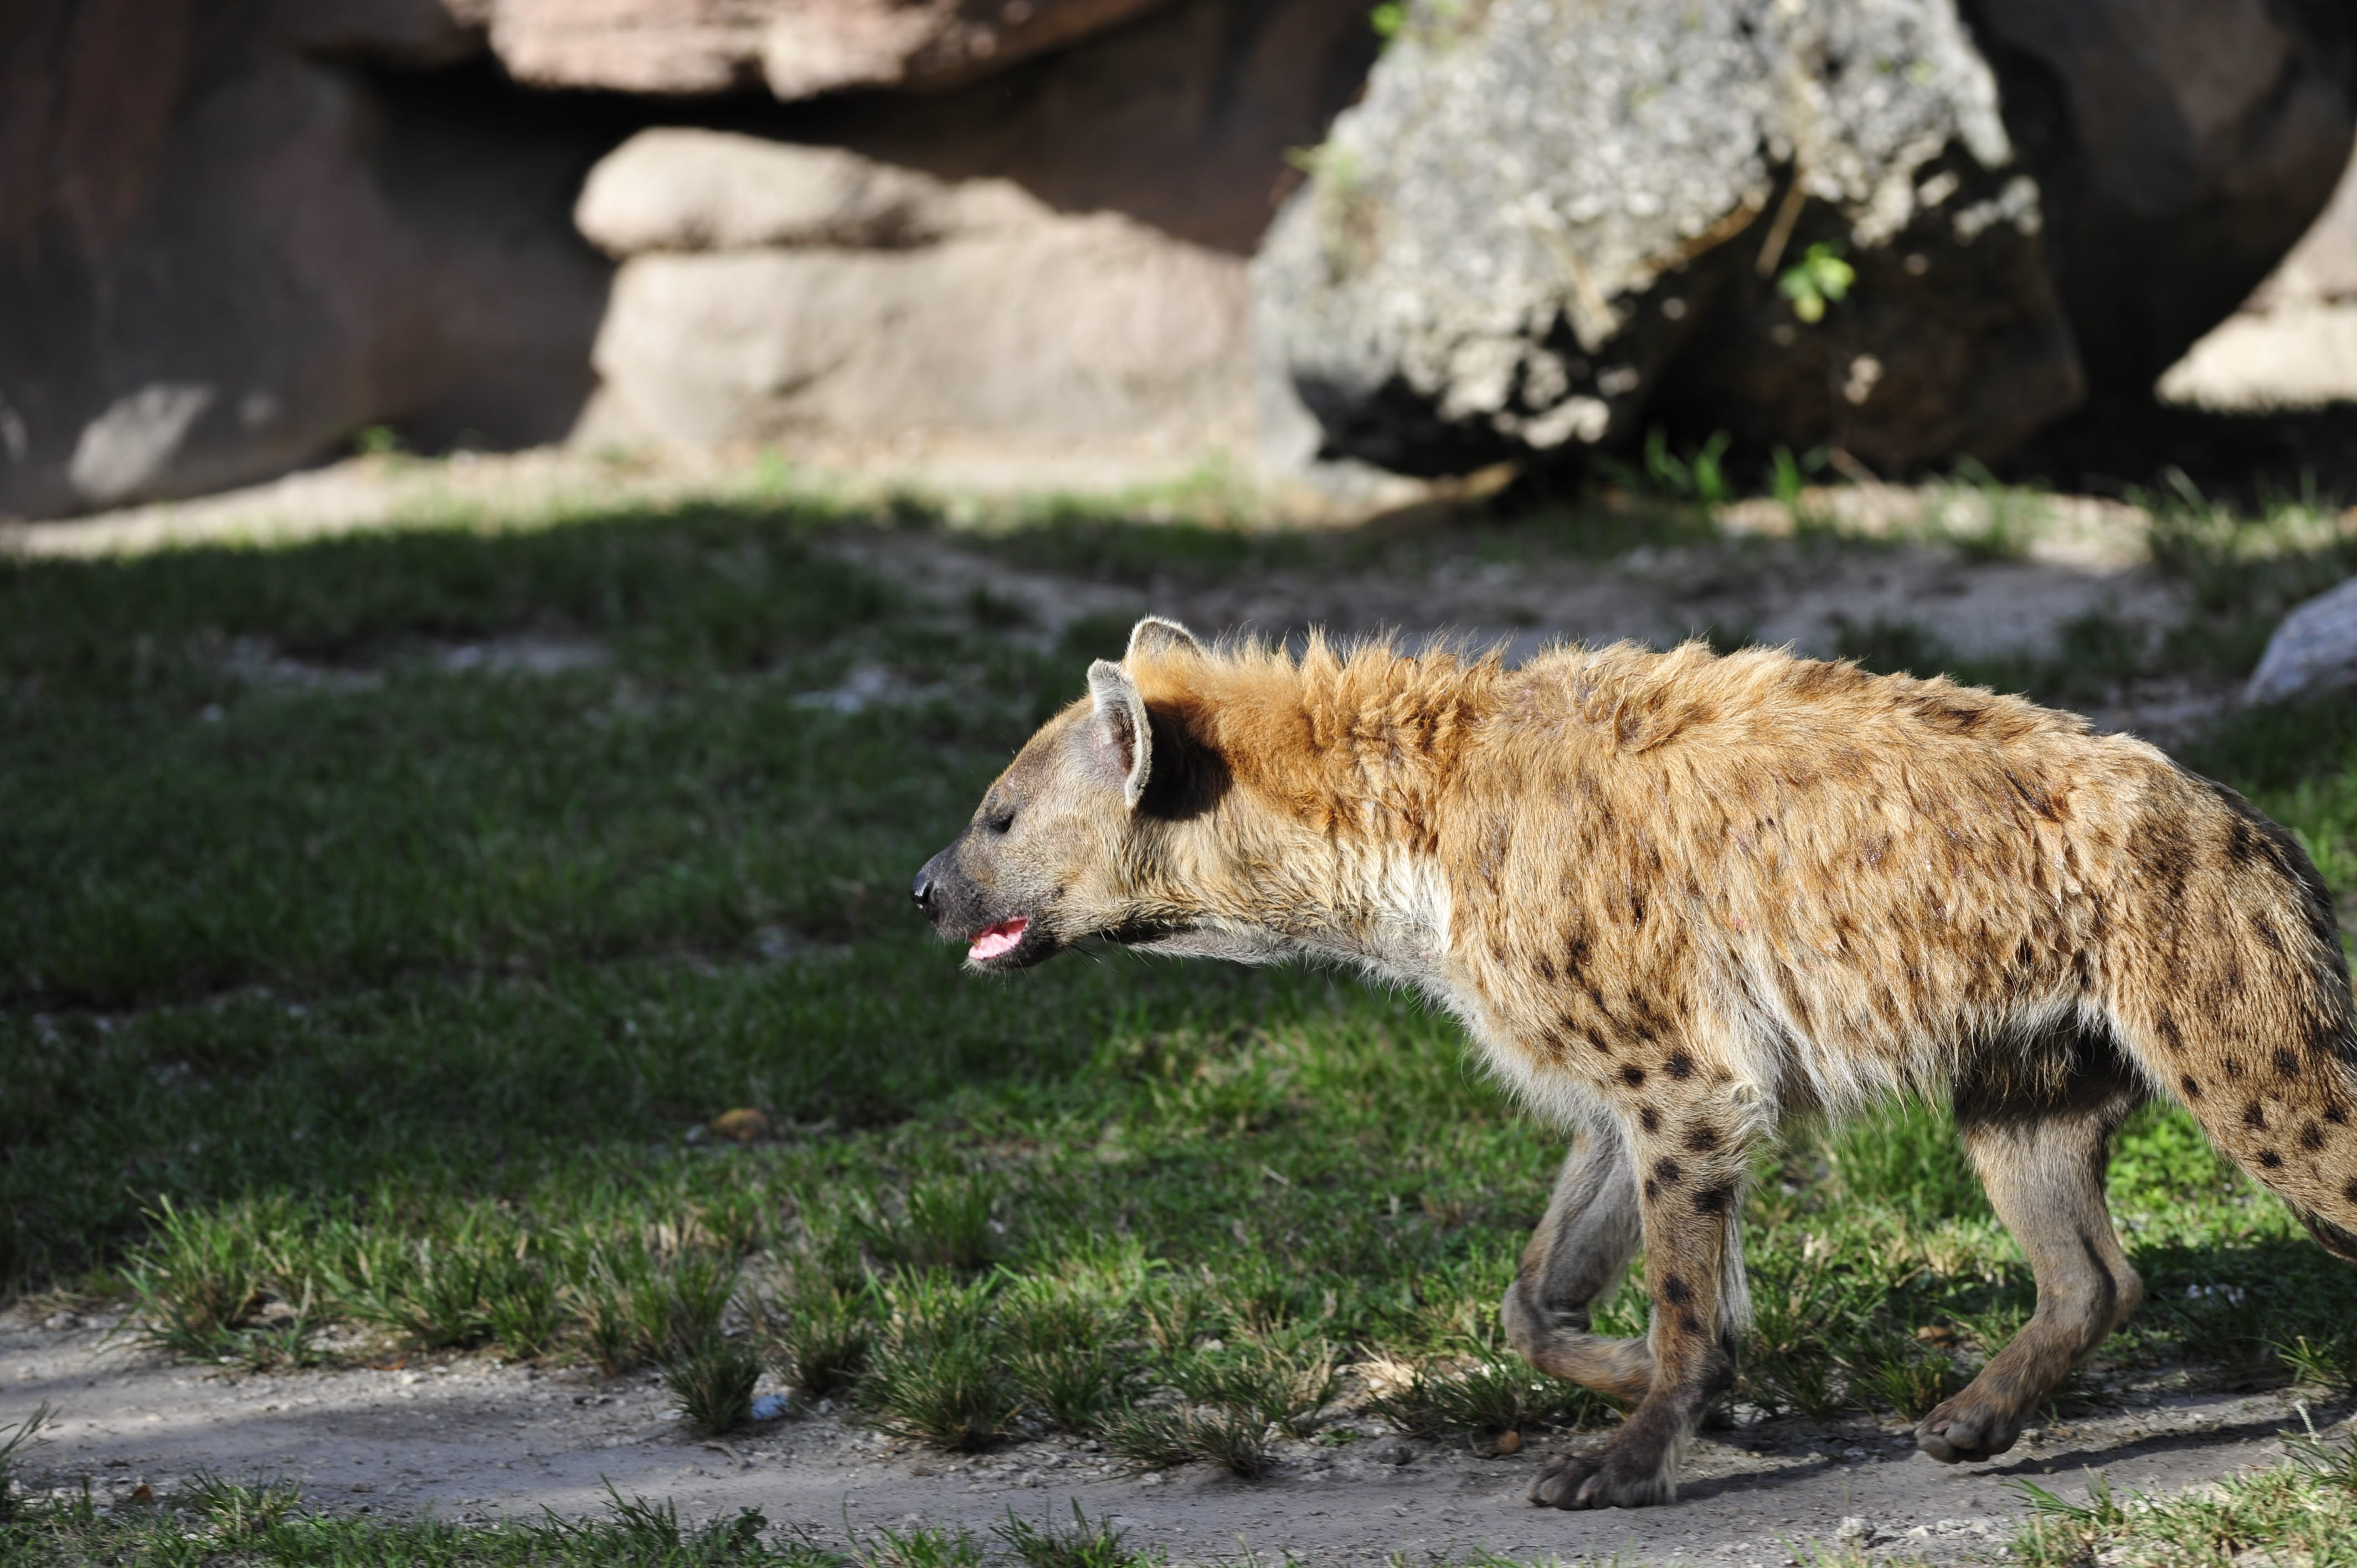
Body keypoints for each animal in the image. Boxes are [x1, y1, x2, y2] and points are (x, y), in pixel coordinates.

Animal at [912, 617, 2357, 1509]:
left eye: (997, 814)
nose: (919, 887)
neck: (1406, 844)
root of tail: (2257, 826)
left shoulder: (1684, 1074)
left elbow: (1669, 1289)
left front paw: (1630, 1452)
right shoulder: (1623, 1079)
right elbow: (1538, 1291)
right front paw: (1707, 1386)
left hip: (2240, 1046)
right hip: (2027, 1071)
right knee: (2092, 1270)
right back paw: (1969, 1418)